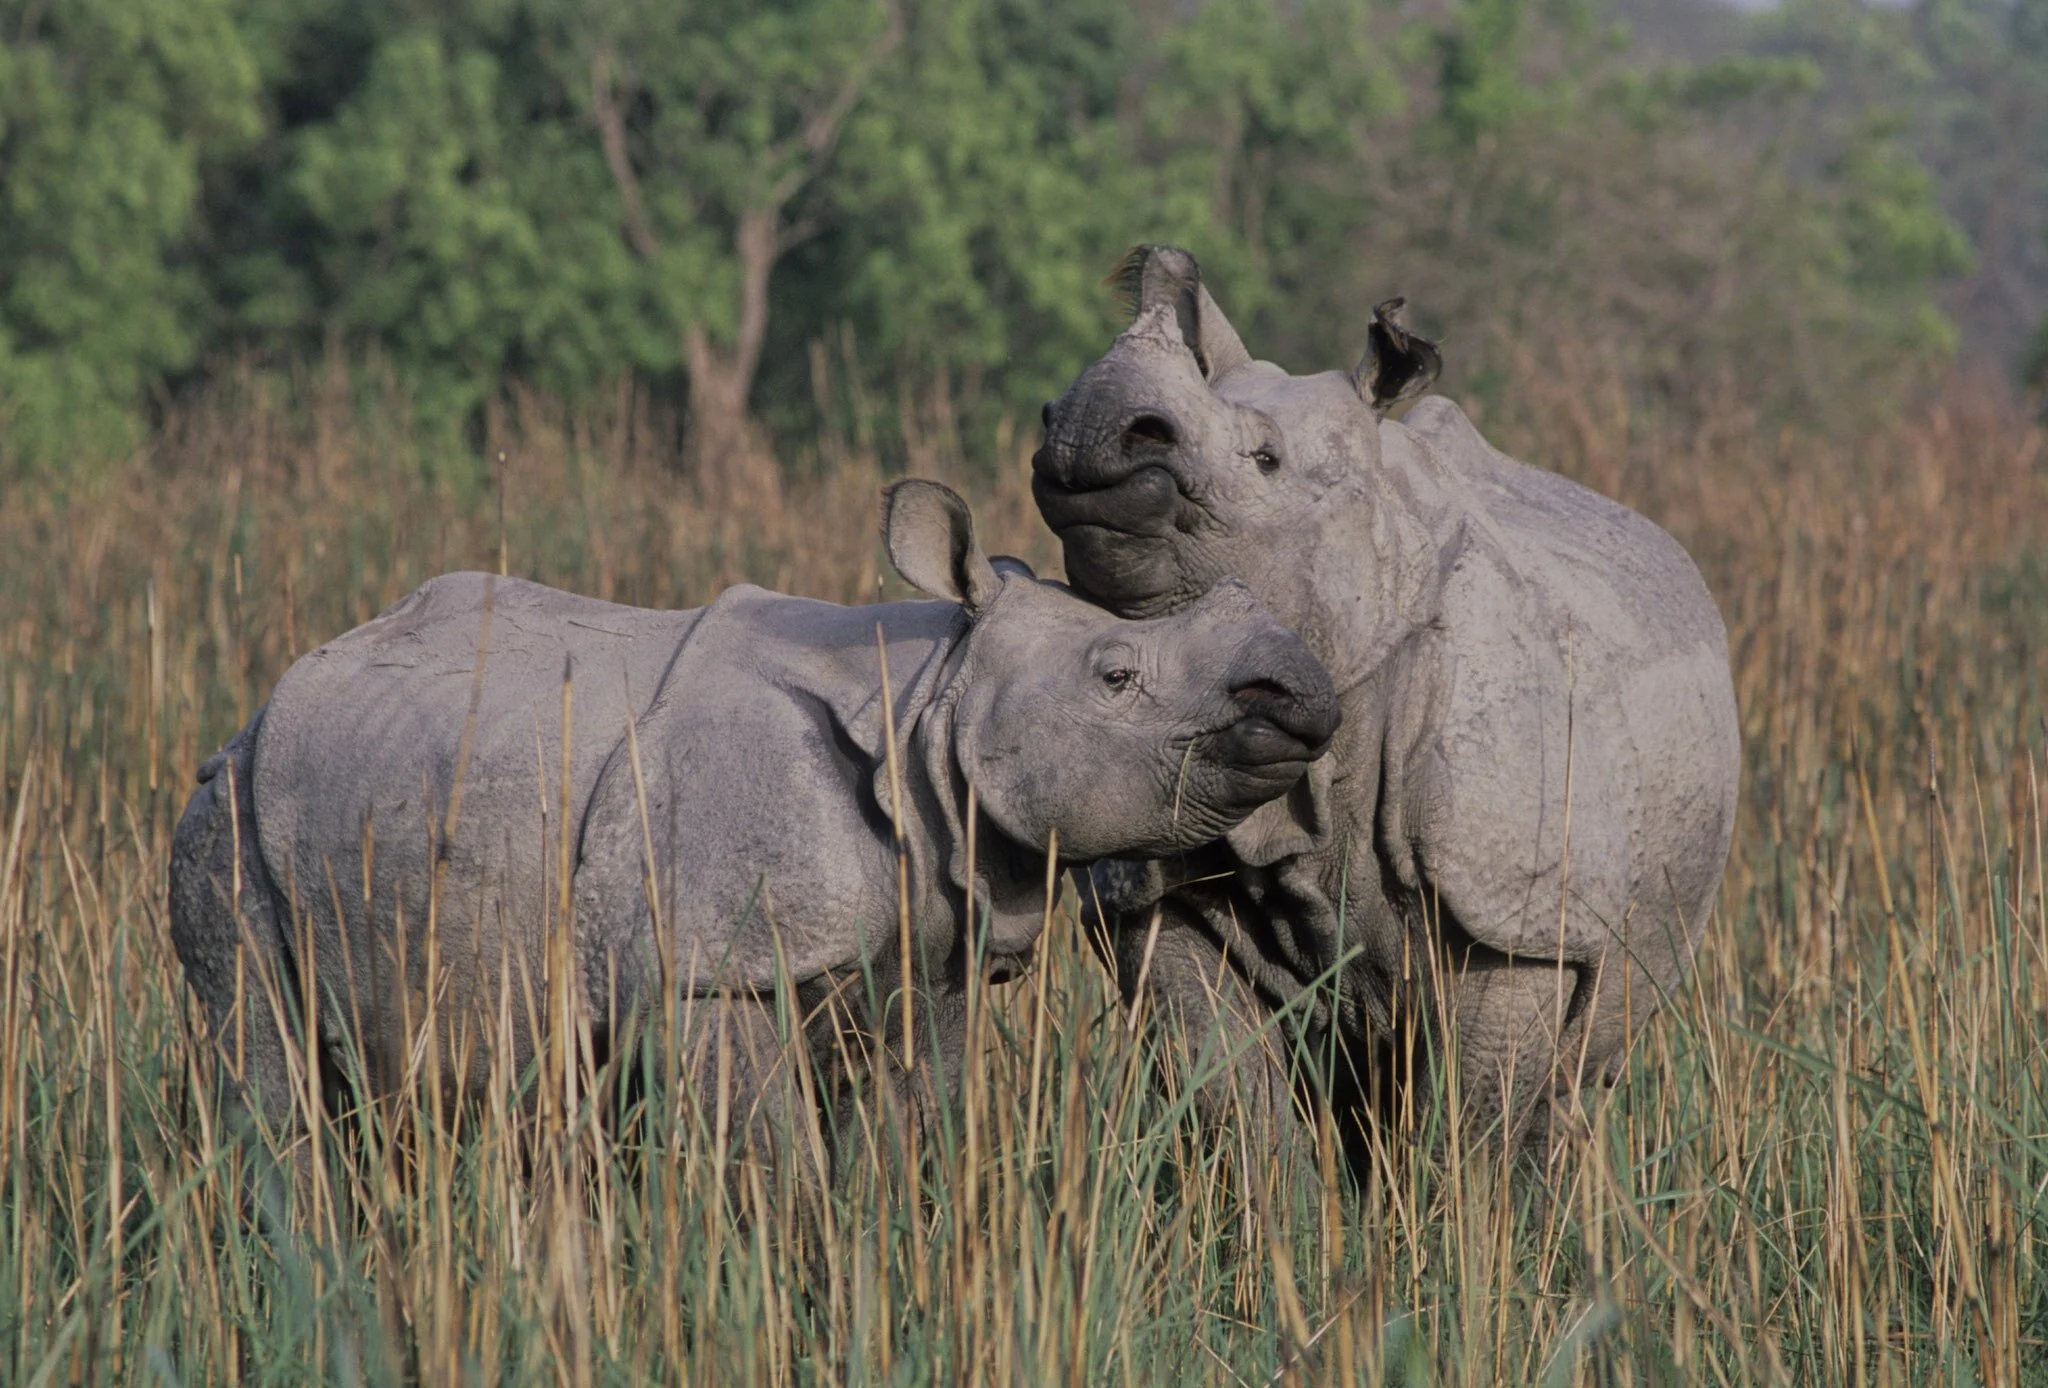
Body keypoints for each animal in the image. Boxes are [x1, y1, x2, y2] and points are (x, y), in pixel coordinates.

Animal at [168, 479, 1338, 1173]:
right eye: (1116, 677)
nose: (1302, 696)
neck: (928, 699)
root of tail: (266, 704)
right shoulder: (708, 966)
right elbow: (773, 1166)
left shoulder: (930, 957)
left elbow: (904, 1141)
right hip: (229, 817)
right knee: (264, 1057)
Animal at [1031, 247, 1741, 1159]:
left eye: (1265, 460)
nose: (1087, 430)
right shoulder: (1154, 892)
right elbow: (1238, 1113)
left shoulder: (1518, 918)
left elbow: (1470, 1126)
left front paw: (1459, 1200)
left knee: (1571, 1078)